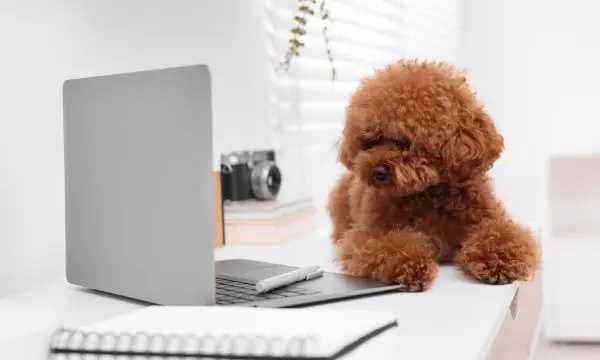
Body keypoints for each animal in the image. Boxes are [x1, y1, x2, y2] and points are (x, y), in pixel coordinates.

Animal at [326, 59, 540, 290]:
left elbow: (501, 235)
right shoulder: (369, 234)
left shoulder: (490, 220)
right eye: (373, 141)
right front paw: (411, 265)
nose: (377, 171)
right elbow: (389, 245)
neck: (429, 194)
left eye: (406, 142)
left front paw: (498, 260)